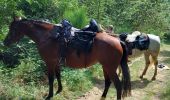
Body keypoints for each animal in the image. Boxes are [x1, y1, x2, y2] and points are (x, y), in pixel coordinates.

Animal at [3, 17, 131, 99]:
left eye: (13, 28)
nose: (5, 42)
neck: (47, 36)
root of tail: (118, 41)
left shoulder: (49, 62)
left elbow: (51, 79)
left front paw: (49, 95)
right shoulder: (56, 62)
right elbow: (58, 75)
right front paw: (59, 90)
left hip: (110, 68)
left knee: (118, 85)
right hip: (105, 67)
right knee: (108, 82)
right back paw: (103, 96)